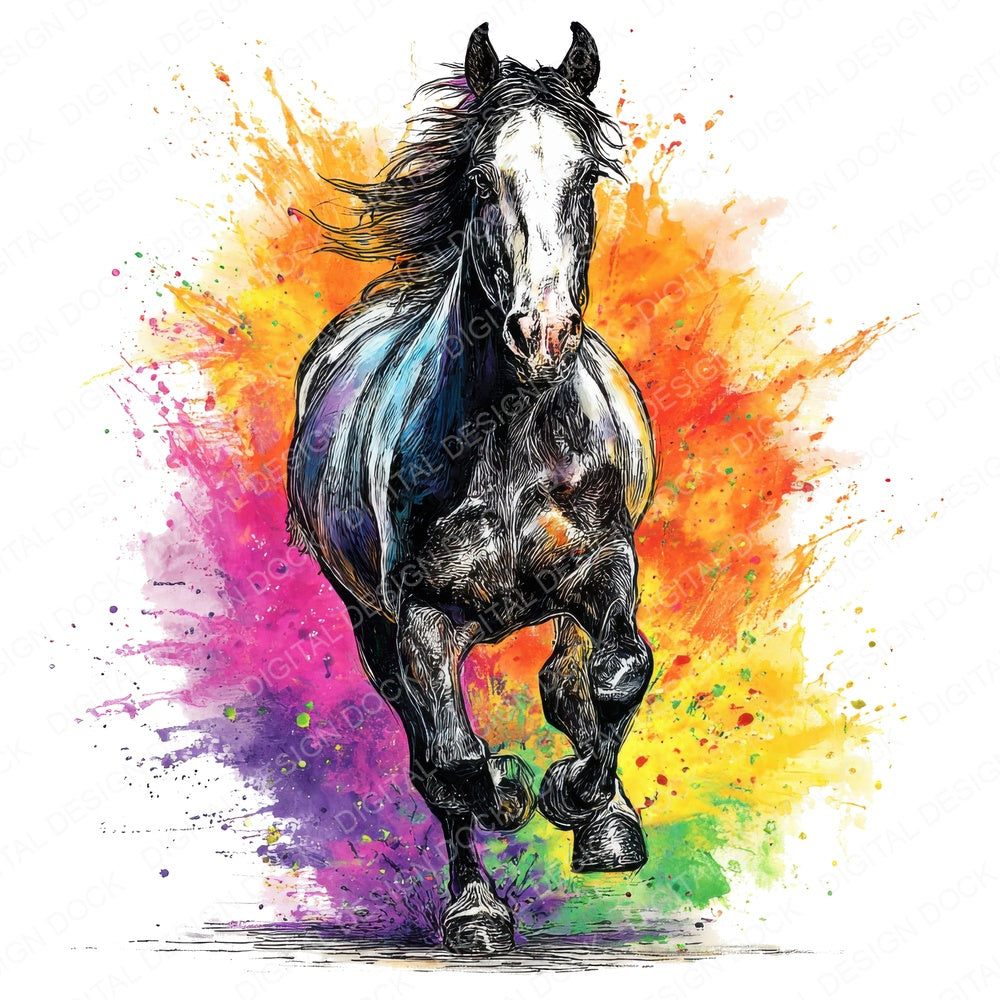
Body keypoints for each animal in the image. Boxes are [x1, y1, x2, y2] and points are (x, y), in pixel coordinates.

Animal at [287, 22, 657, 955]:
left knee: (568, 678)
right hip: (371, 630)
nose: (545, 333)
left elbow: (616, 675)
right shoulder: (422, 615)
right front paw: (514, 794)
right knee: (432, 758)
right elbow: (452, 761)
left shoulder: (604, 565)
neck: (512, 438)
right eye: (484, 180)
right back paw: (477, 905)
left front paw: (589, 808)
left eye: (584, 177)